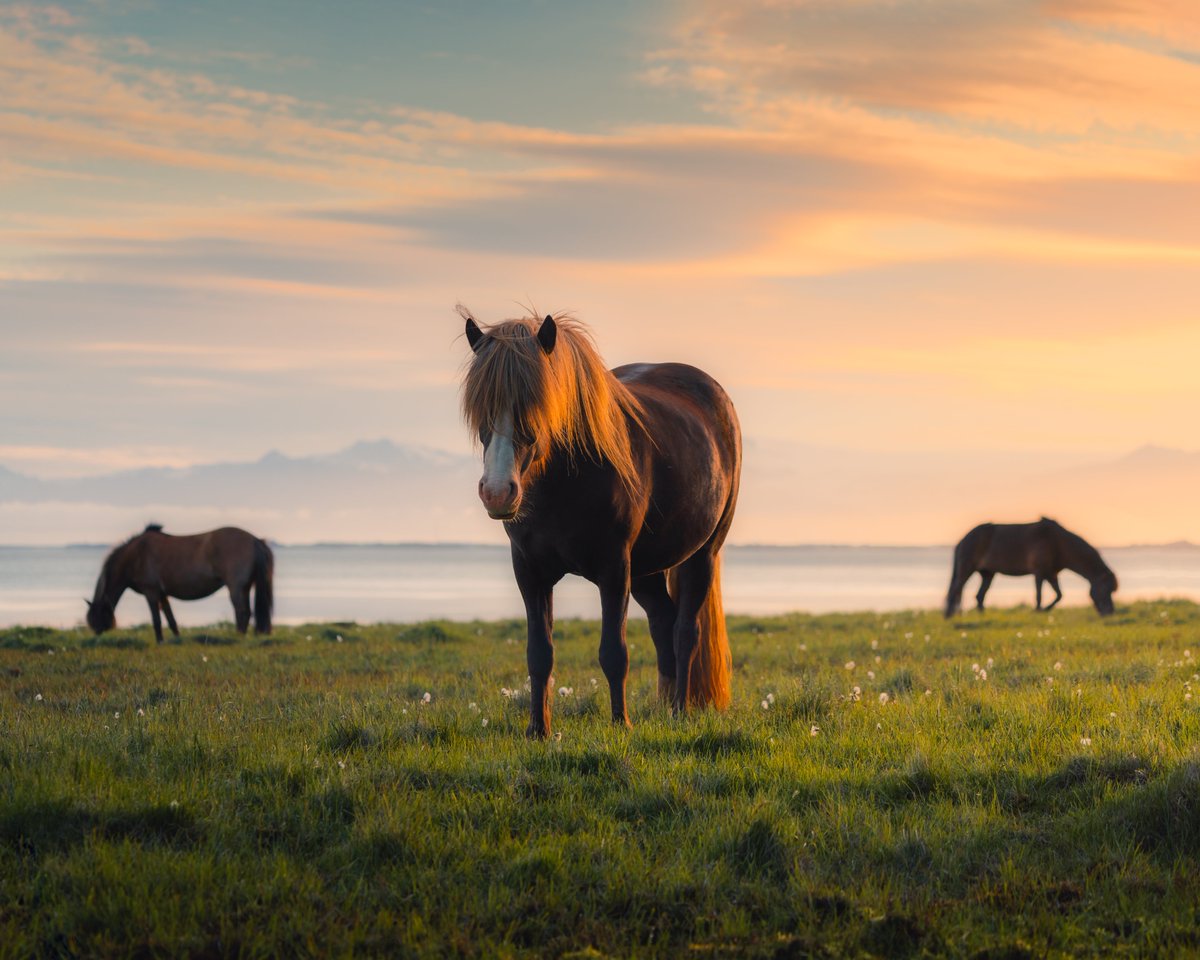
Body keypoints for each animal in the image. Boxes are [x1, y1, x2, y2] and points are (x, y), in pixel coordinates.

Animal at [86, 525, 274, 643]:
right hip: (245, 587)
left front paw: (160, 641)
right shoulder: (162, 594)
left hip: (235, 587)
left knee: (242, 612)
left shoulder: (151, 592)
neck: (135, 555)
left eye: (97, 617)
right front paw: (177, 638)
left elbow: (156, 620)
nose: (97, 637)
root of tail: (255, 539)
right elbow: (171, 619)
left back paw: (238, 637)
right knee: (246, 612)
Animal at [459, 307, 741, 739]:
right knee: (663, 623)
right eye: (481, 410)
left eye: (537, 404)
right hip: (646, 571)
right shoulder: (529, 571)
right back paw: (664, 708)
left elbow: (614, 652)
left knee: (684, 632)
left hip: (702, 555)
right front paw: (538, 730)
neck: (563, 481)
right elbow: (539, 653)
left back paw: (679, 711)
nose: (497, 492)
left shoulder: (614, 569)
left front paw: (620, 723)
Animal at [944, 517, 1117, 618]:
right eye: (1106, 589)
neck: (1058, 543)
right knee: (956, 590)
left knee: (979, 596)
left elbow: (1059, 595)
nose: (1110, 612)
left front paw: (1046, 609)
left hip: (988, 573)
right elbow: (1039, 594)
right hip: (967, 569)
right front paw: (1038, 611)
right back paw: (949, 615)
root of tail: (963, 539)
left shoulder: (1052, 574)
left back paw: (982, 616)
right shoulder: (1039, 572)